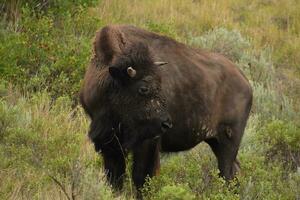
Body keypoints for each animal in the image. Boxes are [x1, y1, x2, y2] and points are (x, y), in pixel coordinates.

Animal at [79, 24, 251, 197]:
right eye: (143, 88)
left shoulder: (147, 143)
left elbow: (141, 177)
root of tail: (246, 83)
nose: (166, 124)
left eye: (160, 86)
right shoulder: (109, 143)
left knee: (227, 173)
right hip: (215, 141)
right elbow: (115, 177)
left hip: (228, 141)